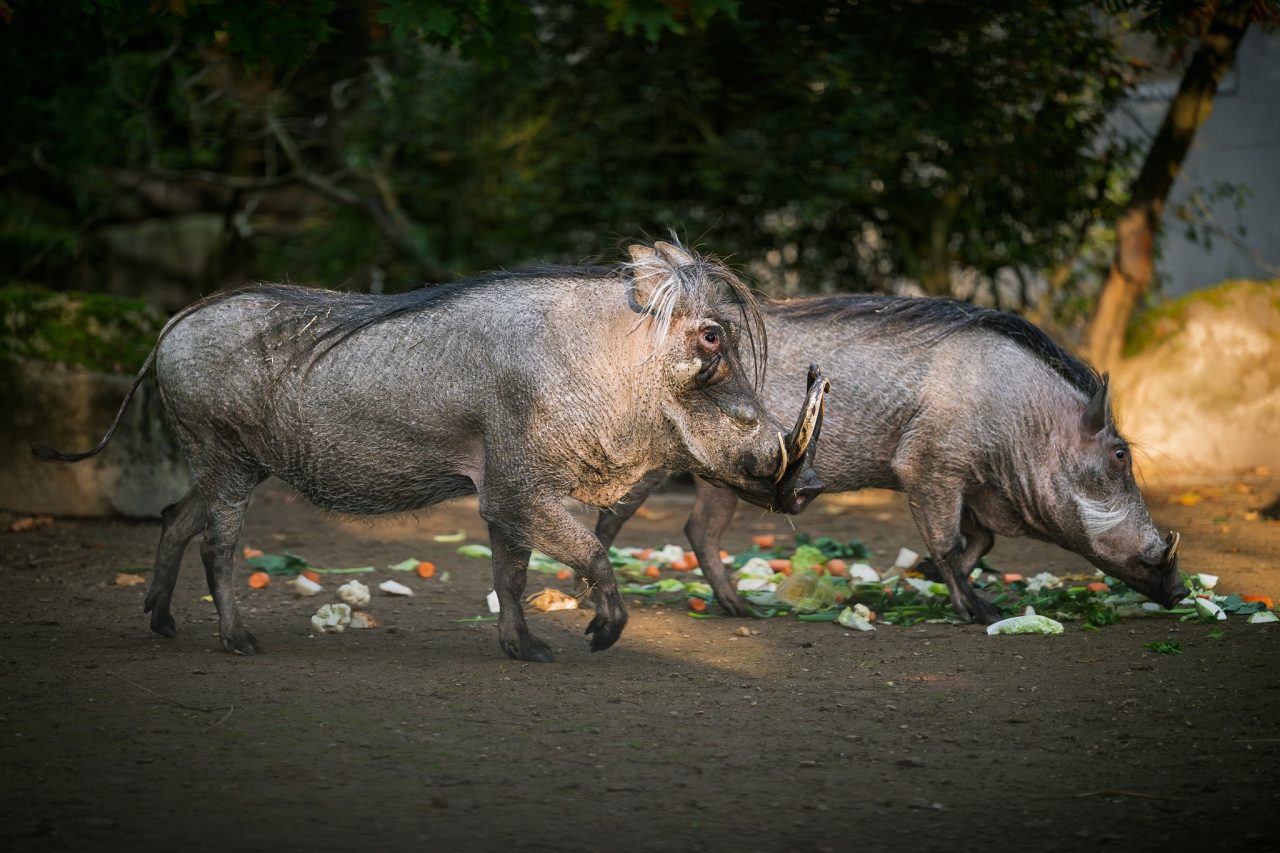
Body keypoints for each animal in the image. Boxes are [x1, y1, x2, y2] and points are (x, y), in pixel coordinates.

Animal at [35, 240, 829, 660]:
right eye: (712, 339)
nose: (803, 488)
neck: (603, 361)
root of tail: (171, 325)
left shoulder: (507, 495)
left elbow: (512, 572)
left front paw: (525, 650)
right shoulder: (518, 487)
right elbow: (588, 554)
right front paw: (601, 634)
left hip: (227, 463)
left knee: (175, 519)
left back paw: (163, 623)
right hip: (227, 461)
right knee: (218, 546)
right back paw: (239, 640)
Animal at [596, 294, 1186, 623]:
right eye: (1118, 455)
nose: (1181, 590)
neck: (1021, 423)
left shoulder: (973, 488)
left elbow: (978, 543)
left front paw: (919, 578)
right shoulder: (930, 468)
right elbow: (951, 543)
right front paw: (980, 612)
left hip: (720, 480)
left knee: (699, 531)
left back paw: (742, 609)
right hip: (647, 462)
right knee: (611, 519)